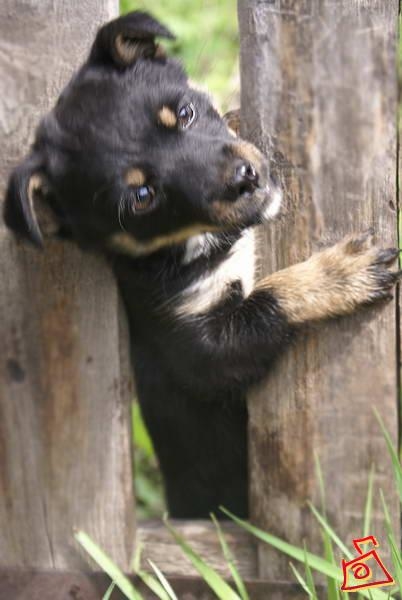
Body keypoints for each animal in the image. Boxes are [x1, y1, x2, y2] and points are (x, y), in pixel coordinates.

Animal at [3, 11, 402, 516]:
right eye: (142, 196)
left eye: (185, 114)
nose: (244, 181)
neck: (199, 243)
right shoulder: (201, 350)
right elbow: (269, 296)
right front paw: (341, 273)